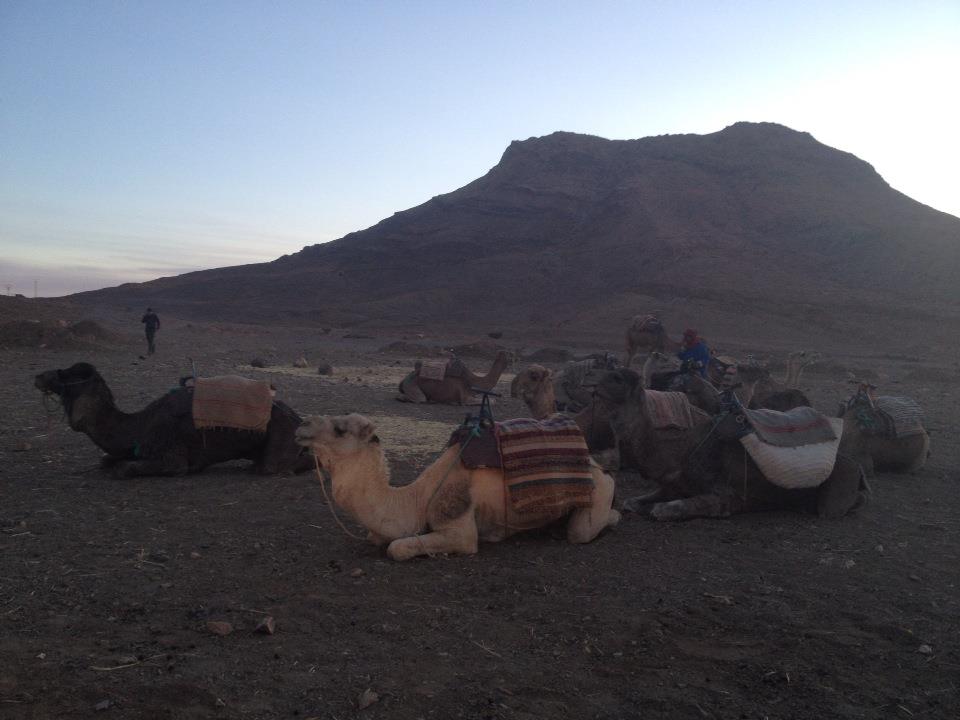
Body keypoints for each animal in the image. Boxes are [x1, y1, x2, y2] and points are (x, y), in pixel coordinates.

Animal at [33, 360, 310, 478]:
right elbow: (107, 460)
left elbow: (125, 468)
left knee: (274, 466)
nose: (39, 376)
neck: (139, 425)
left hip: (282, 436)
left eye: (68, 374)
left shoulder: (173, 457)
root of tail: (296, 417)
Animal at [294, 414, 624, 560]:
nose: (301, 426)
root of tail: (597, 466)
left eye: (340, 429)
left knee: (583, 530)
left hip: (598, 492)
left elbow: (397, 547)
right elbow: (377, 537)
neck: (416, 499)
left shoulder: (459, 527)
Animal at [592, 368, 864, 520]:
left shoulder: (726, 497)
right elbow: (631, 502)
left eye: (618, 379)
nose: (597, 383)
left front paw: (655, 510)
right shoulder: (673, 486)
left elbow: (666, 509)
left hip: (833, 499)